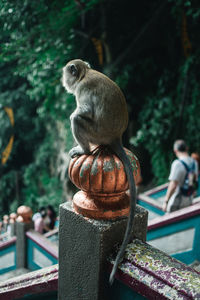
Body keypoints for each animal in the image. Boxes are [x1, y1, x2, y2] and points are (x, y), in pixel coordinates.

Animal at [62, 58, 138, 284]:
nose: (63, 79)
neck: (85, 74)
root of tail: (116, 138)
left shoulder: (82, 89)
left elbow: (83, 112)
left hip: (97, 133)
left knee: (77, 119)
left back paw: (85, 150)